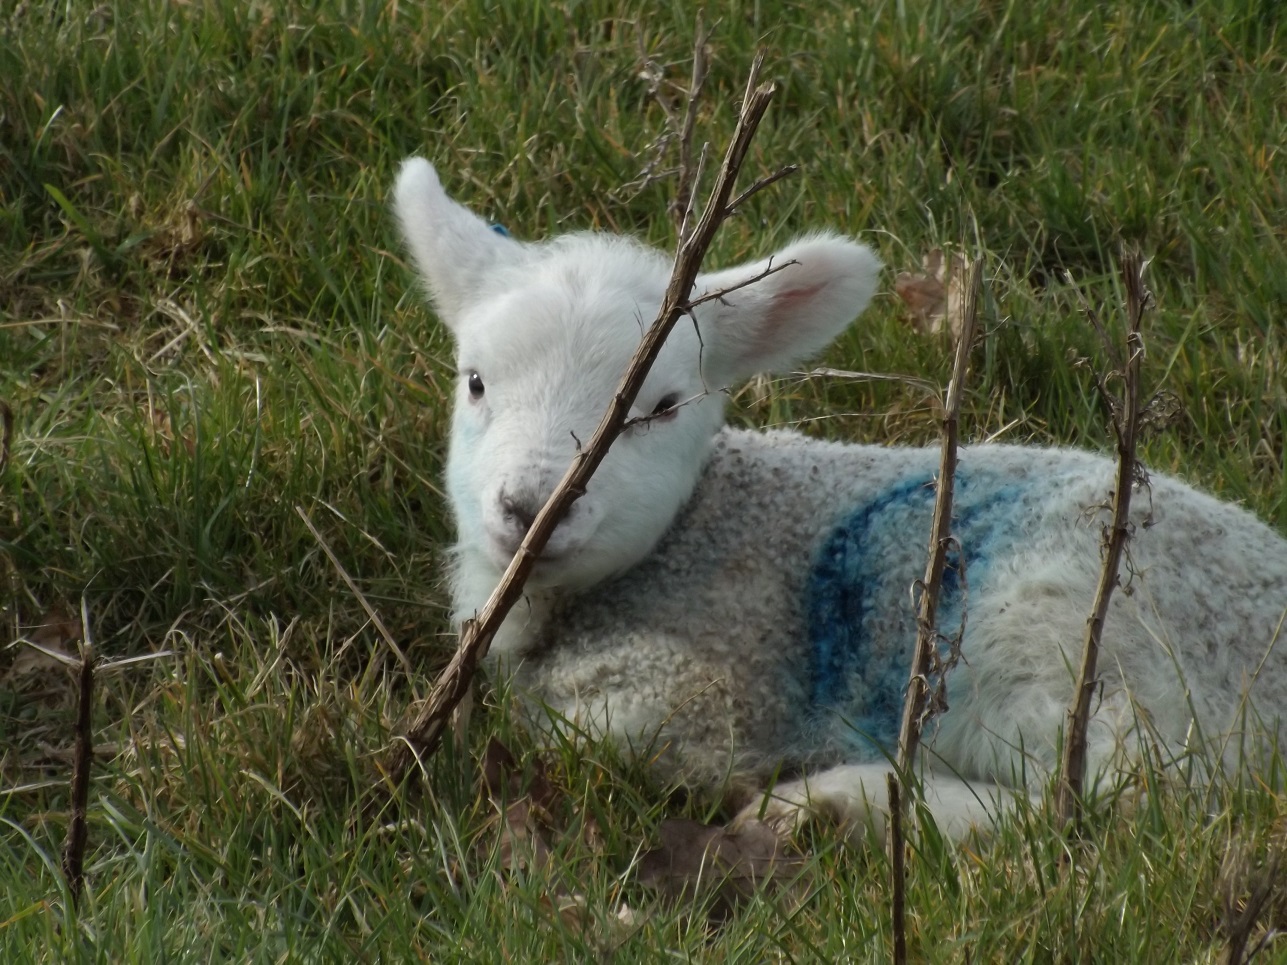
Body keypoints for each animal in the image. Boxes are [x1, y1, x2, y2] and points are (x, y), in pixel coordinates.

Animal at [394, 157, 1287, 839]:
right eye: (475, 381)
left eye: (662, 405)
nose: (529, 508)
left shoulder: (709, 685)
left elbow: (598, 735)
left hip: (1085, 638)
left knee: (1118, 808)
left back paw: (834, 801)